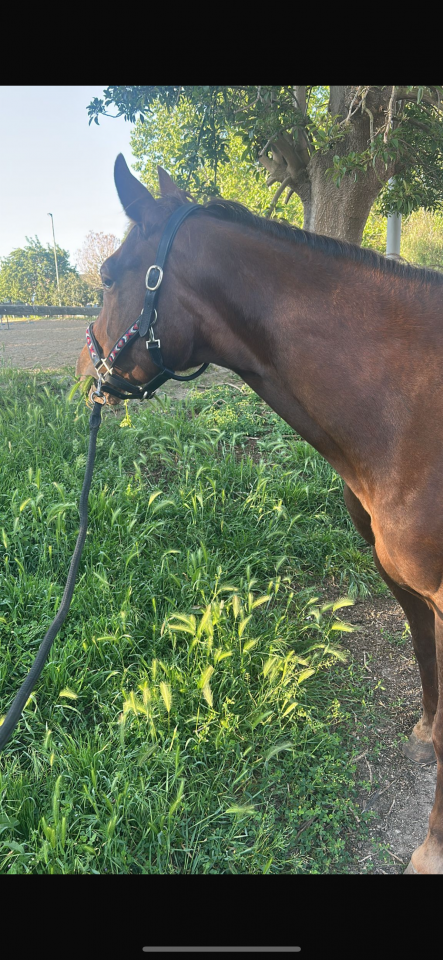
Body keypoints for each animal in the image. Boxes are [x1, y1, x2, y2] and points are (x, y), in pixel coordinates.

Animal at [76, 153, 443, 874]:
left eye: (108, 276)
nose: (86, 370)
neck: (409, 406)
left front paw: (432, 846)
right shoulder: (403, 582)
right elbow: (426, 663)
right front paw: (427, 736)